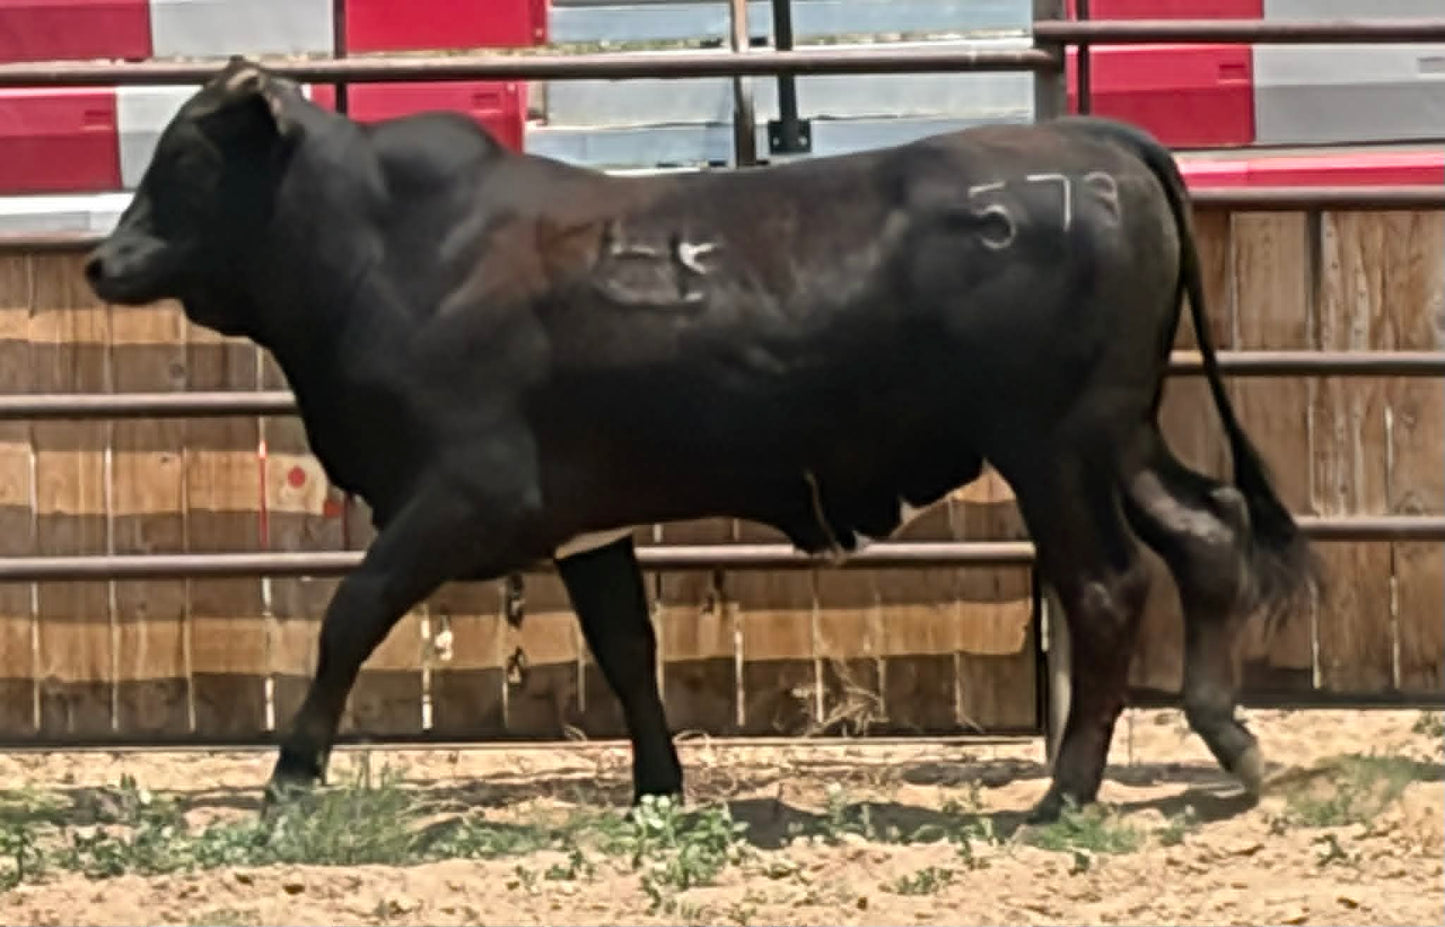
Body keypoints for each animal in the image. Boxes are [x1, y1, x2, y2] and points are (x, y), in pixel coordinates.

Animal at [84, 57, 1317, 824]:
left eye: (188, 161)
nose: (102, 261)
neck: (394, 251)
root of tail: (1086, 139)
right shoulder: (583, 525)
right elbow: (627, 651)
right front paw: (658, 784)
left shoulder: (460, 499)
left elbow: (348, 617)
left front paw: (288, 778)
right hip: (1116, 433)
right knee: (1205, 534)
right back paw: (1230, 743)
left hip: (1053, 447)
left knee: (1108, 586)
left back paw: (1063, 792)